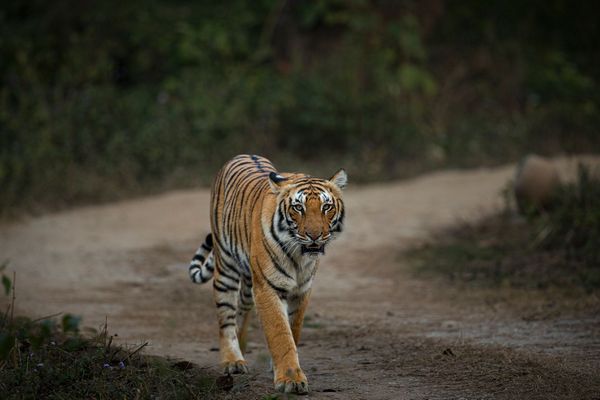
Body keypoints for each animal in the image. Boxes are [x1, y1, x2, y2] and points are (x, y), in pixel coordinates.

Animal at [188, 154, 346, 394]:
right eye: (298, 207)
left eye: (326, 206)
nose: (314, 236)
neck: (300, 256)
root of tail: (242, 154)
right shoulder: (268, 288)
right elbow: (280, 333)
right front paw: (290, 379)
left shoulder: (302, 289)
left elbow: (293, 330)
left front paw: (280, 366)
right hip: (226, 268)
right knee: (226, 319)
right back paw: (232, 361)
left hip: (248, 282)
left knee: (241, 310)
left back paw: (242, 346)